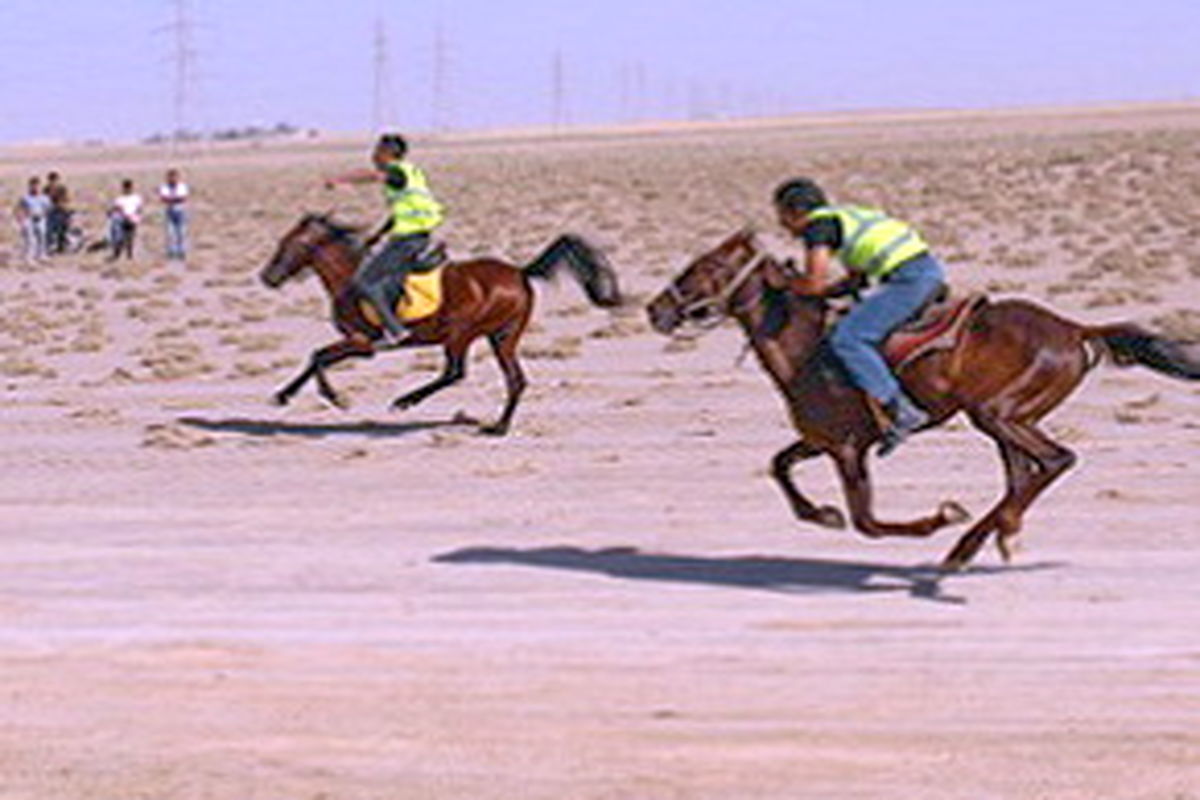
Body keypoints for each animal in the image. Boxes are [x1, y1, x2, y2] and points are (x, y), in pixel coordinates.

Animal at [260, 212, 619, 434]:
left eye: (289, 245)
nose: (268, 278)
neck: (349, 277)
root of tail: (520, 272)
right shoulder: (358, 343)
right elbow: (314, 357)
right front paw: (283, 395)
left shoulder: (363, 343)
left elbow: (319, 356)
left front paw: (334, 397)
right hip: (501, 337)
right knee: (514, 380)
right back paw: (498, 428)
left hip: (460, 333)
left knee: (455, 372)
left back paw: (405, 401)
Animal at [648, 230, 1200, 568]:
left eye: (702, 267)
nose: (656, 309)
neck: (805, 347)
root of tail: (1074, 328)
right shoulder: (824, 439)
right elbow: (780, 465)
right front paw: (820, 514)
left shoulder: (847, 447)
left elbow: (868, 522)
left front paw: (940, 517)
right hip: (1008, 419)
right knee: (1024, 475)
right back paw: (991, 539)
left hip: (996, 414)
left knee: (1056, 460)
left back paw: (972, 539)